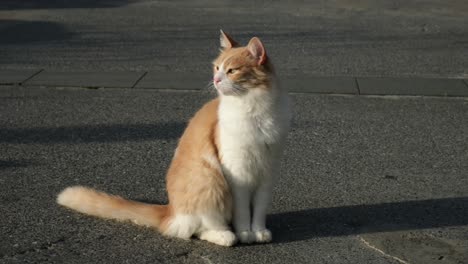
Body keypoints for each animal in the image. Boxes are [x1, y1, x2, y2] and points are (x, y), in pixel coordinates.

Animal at [56, 31, 290, 248]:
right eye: (217, 68)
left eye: (232, 71)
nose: (216, 80)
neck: (253, 111)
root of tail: (170, 210)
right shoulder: (238, 174)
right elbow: (242, 212)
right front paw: (245, 233)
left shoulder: (267, 173)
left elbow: (259, 209)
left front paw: (258, 231)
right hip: (209, 181)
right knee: (197, 228)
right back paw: (225, 235)